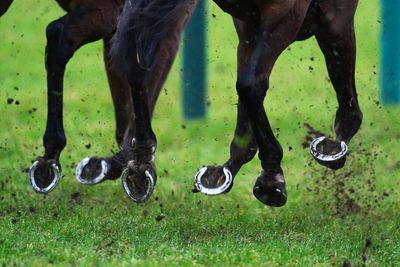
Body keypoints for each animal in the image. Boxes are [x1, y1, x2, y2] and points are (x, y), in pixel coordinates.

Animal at [110, 0, 362, 207]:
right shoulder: (247, 25)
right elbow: (136, 65)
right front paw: (141, 163)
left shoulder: (287, 12)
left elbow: (250, 86)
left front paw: (271, 177)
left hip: (331, 20)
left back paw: (335, 146)